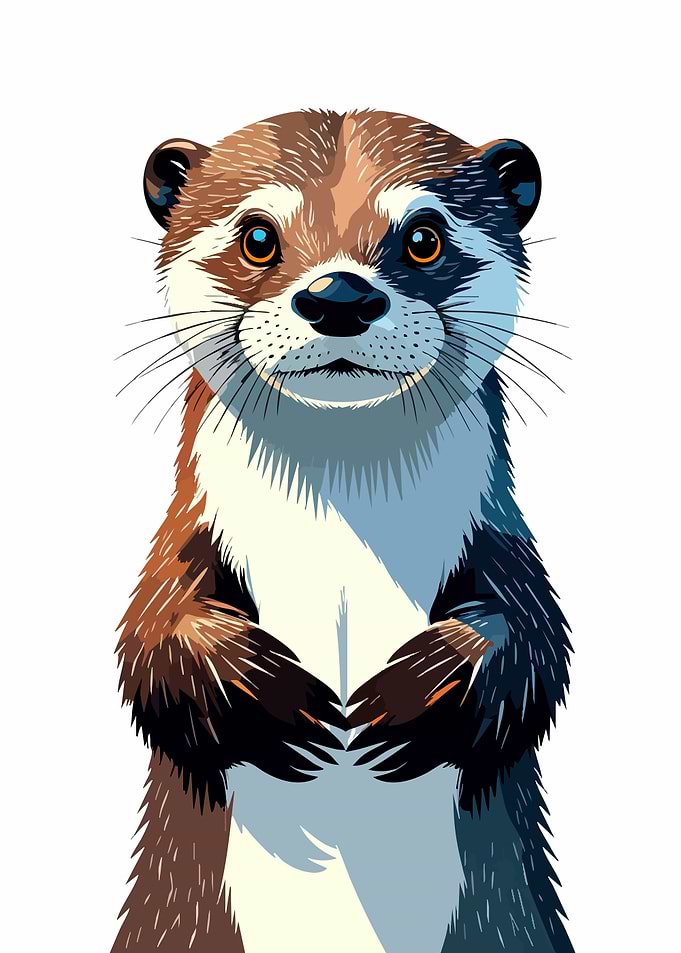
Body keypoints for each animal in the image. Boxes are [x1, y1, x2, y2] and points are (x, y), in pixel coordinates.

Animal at [114, 109, 573, 952]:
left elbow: (531, 638)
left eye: (423, 235)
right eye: (257, 235)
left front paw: (418, 694)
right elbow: (151, 633)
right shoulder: (182, 536)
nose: (338, 294)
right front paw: (265, 694)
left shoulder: (502, 539)